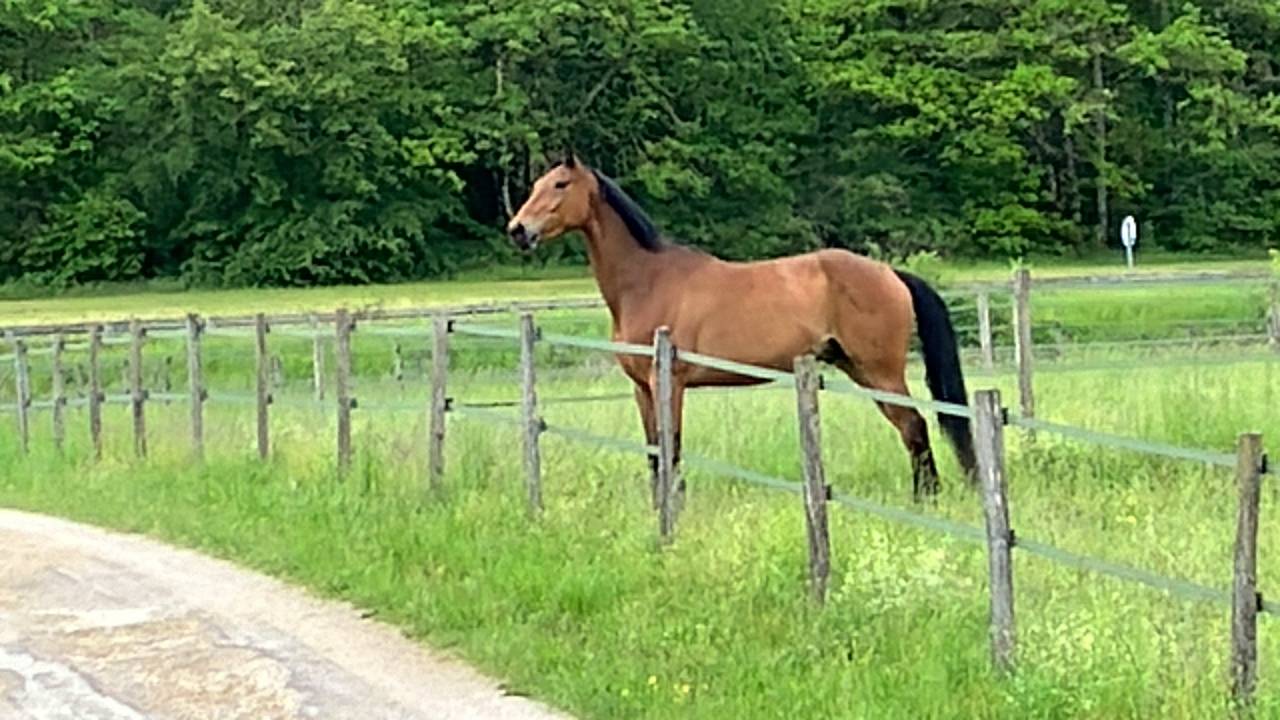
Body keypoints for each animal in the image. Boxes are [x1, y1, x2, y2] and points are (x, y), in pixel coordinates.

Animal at [506, 154, 976, 499]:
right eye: (535, 185)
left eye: (560, 185)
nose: (517, 230)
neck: (648, 279)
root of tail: (889, 273)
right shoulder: (643, 389)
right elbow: (655, 450)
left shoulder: (669, 384)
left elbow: (672, 447)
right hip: (859, 369)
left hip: (880, 371)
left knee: (914, 427)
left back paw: (926, 498)